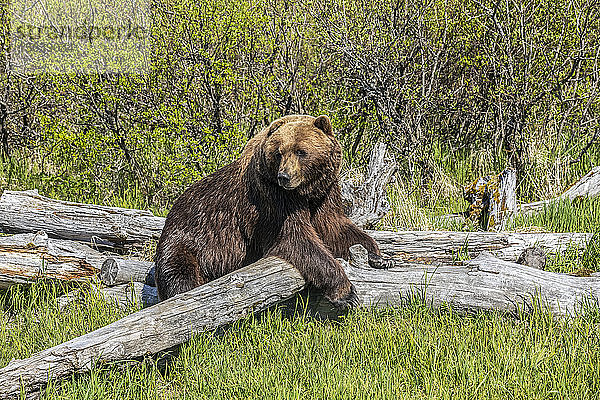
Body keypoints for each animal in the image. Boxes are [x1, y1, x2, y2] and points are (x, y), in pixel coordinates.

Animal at [155, 114, 390, 308]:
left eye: (301, 151)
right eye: (279, 153)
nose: (284, 176)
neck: (304, 192)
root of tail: (169, 217)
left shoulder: (325, 193)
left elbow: (335, 227)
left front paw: (379, 257)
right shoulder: (271, 200)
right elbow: (296, 239)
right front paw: (346, 293)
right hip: (187, 241)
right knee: (180, 275)